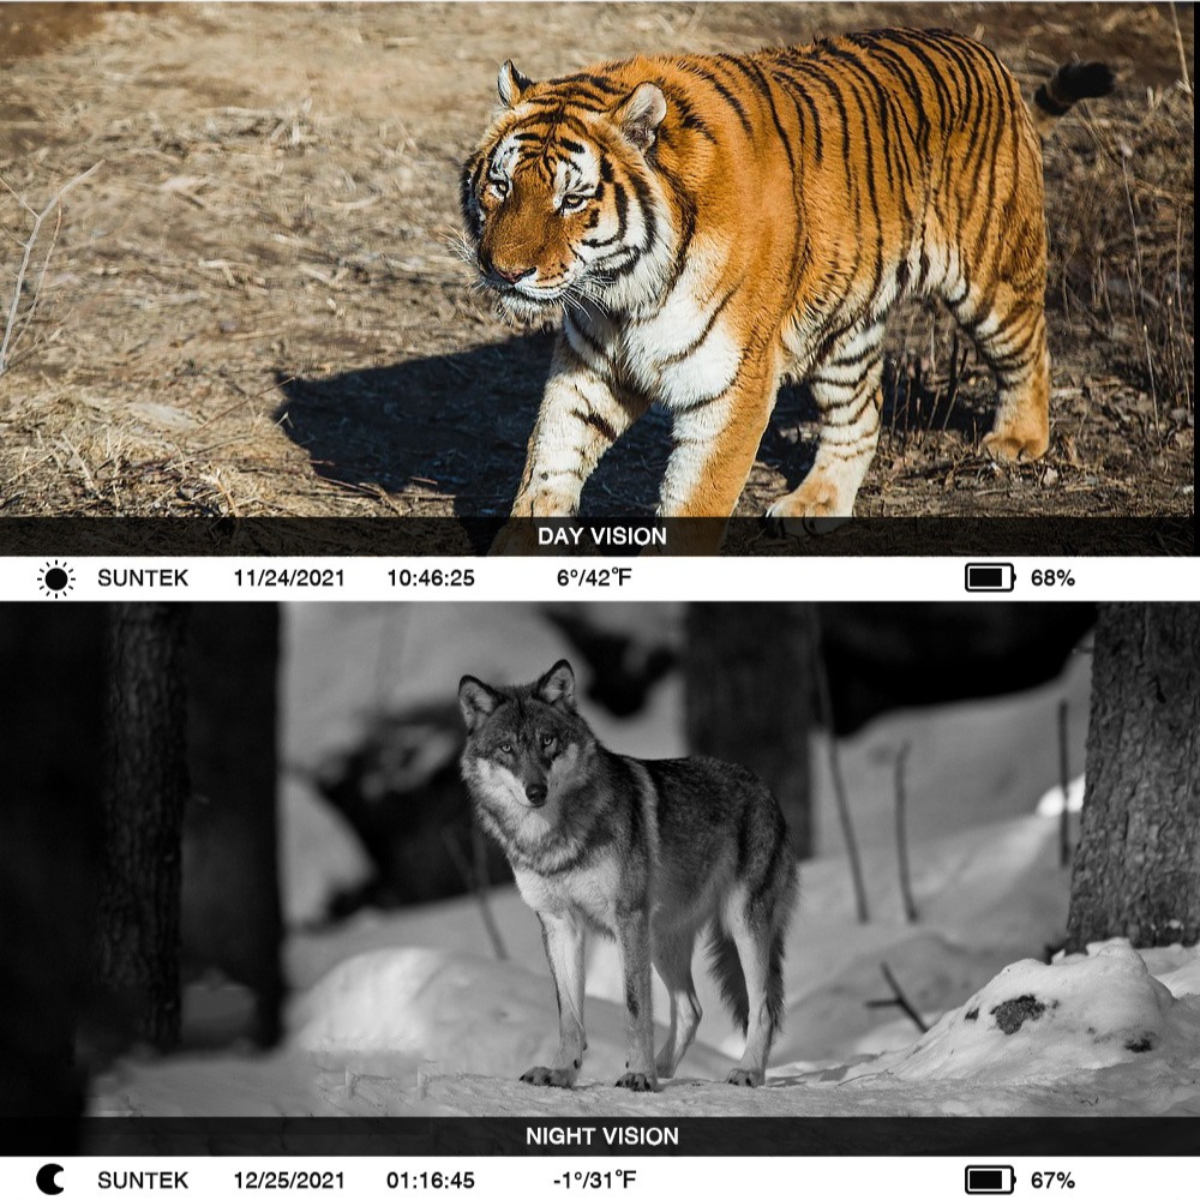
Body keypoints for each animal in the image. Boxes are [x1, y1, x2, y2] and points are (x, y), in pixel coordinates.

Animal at [458, 659, 798, 1091]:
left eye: (547, 741)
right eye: (507, 748)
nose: (536, 791)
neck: (553, 841)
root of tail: (765, 788)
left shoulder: (627, 917)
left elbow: (636, 1008)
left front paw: (638, 1074)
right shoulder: (560, 925)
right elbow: (569, 1015)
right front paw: (561, 1072)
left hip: (740, 925)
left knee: (763, 1007)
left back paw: (746, 1070)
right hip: (663, 939)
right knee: (691, 1009)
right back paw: (664, 1069)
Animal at [460, 28, 1114, 546]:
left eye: (572, 200)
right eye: (500, 185)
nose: (505, 270)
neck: (624, 289)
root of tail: (988, 56)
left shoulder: (732, 385)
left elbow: (695, 500)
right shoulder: (590, 367)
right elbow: (546, 471)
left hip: (990, 276)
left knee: (1031, 346)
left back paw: (1018, 440)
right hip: (843, 331)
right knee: (861, 413)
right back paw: (817, 501)